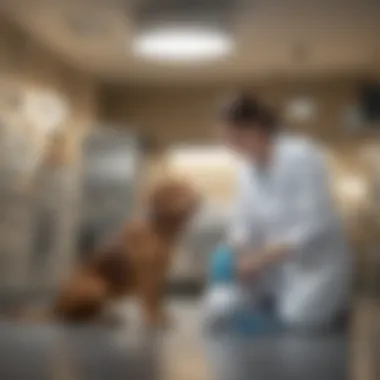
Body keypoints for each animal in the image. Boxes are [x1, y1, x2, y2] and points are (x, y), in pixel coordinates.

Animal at [15, 180, 199, 328]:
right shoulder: (147, 276)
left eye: (186, 189)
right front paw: (154, 321)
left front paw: (163, 317)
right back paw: (101, 320)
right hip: (97, 287)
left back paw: (109, 316)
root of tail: (54, 306)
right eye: (174, 191)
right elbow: (151, 302)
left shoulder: (160, 275)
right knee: (73, 318)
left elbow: (159, 301)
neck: (159, 231)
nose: (193, 200)